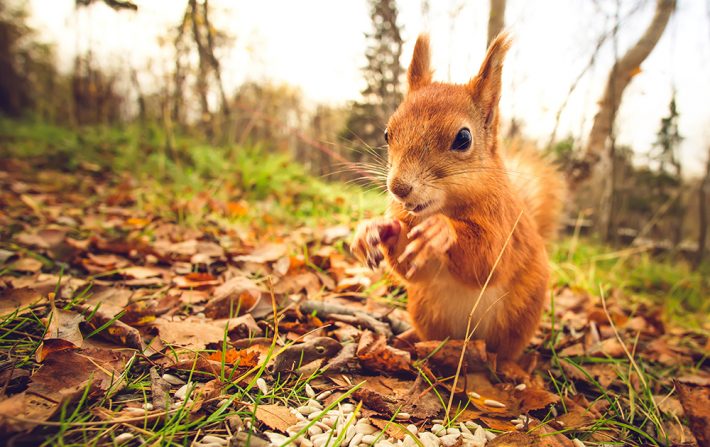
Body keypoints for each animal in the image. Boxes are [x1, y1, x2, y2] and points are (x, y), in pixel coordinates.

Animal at [352, 34, 568, 360]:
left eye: (463, 138)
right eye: (388, 134)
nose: (398, 188)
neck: (441, 208)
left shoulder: (504, 225)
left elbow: (488, 260)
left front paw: (441, 232)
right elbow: (410, 268)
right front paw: (373, 230)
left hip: (519, 317)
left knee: (506, 353)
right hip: (425, 307)